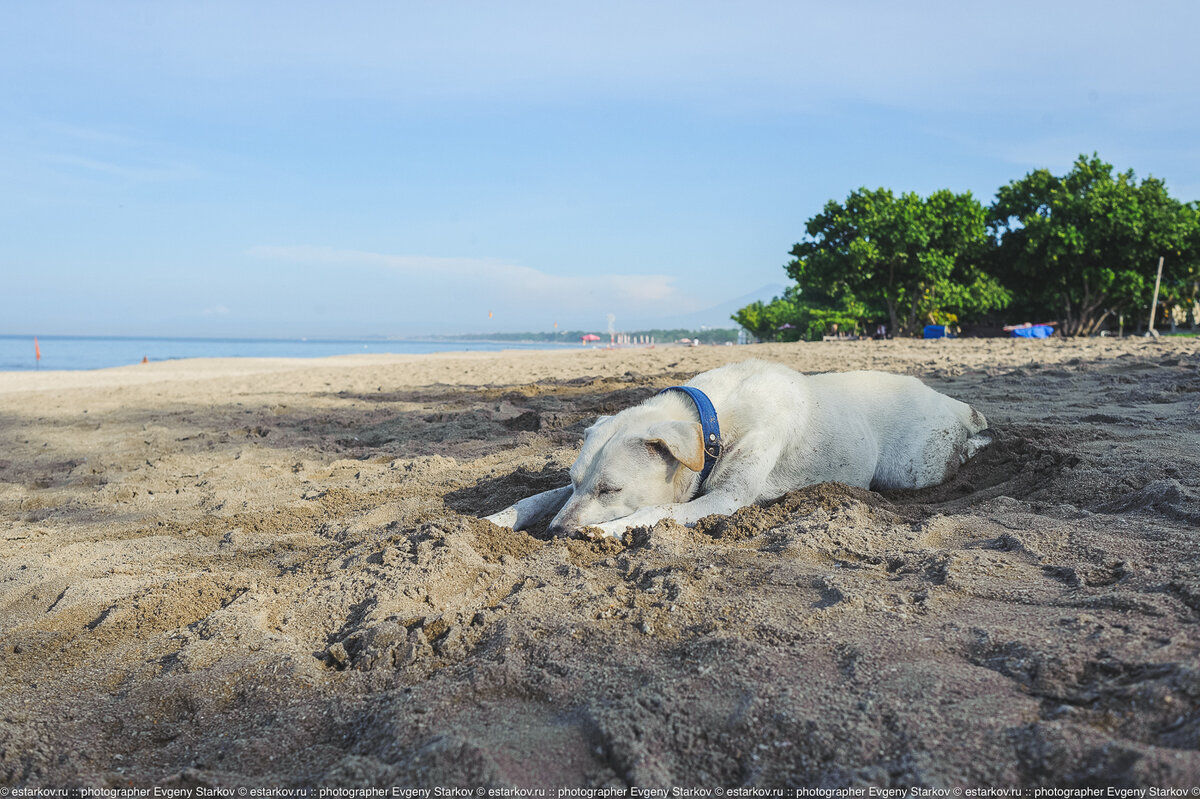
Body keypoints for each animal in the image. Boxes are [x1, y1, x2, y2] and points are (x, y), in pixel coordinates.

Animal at [482, 359, 988, 535]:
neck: (712, 426)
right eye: (575, 481)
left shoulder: (726, 499)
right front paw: (495, 519)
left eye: (611, 490)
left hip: (913, 467)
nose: (553, 533)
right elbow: (534, 497)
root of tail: (951, 402)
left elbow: (657, 512)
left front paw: (604, 532)